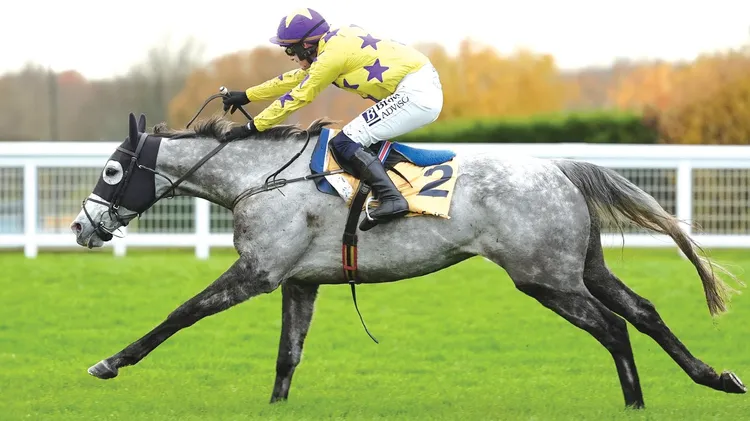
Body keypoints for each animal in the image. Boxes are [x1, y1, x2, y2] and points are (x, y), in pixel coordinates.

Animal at [69, 112, 746, 409]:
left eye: (112, 171)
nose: (80, 227)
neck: (260, 179)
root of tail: (558, 168)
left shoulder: (257, 273)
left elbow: (180, 314)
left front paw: (109, 362)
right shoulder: (300, 281)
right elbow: (288, 354)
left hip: (544, 277)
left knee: (612, 327)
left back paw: (635, 403)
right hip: (581, 266)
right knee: (643, 311)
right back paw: (713, 376)